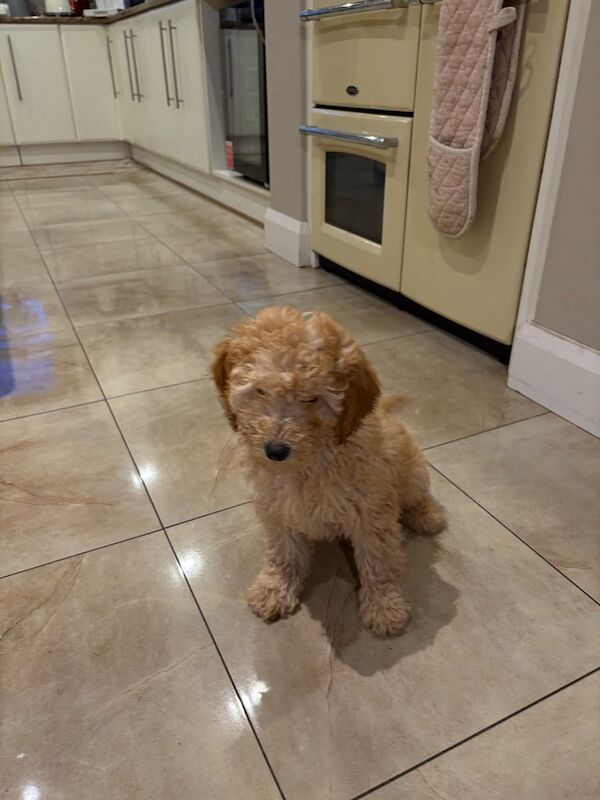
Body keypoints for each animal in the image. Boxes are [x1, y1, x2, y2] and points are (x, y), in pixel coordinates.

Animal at [212, 308, 446, 636]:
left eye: (312, 398)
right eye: (259, 391)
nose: (275, 450)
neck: (309, 461)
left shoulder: (372, 512)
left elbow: (380, 561)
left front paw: (385, 605)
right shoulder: (277, 507)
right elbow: (283, 551)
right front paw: (275, 588)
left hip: (411, 472)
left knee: (418, 494)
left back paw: (427, 515)